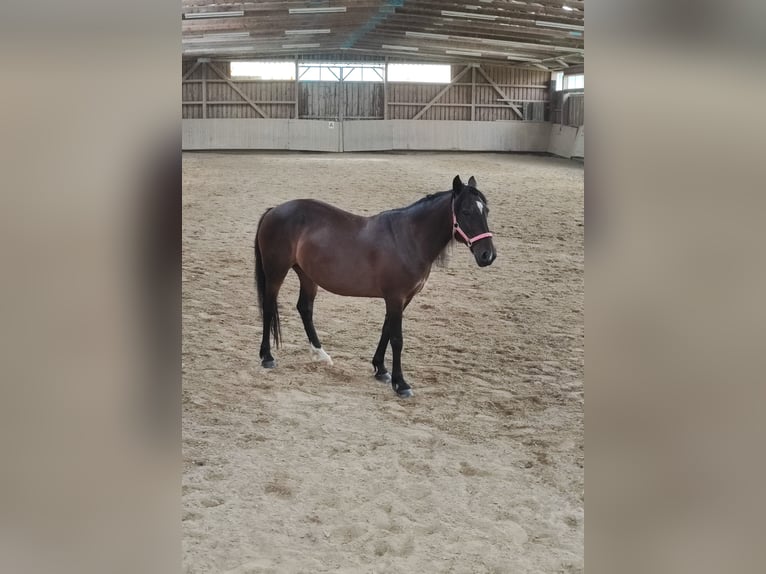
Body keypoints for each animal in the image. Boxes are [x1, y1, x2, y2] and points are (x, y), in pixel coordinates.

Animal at [253, 175, 496, 398]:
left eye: (485, 211)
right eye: (466, 211)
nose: (488, 255)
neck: (408, 239)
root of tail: (274, 211)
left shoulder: (403, 298)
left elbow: (386, 330)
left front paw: (381, 370)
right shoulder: (395, 297)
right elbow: (397, 339)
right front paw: (401, 384)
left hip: (307, 275)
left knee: (305, 308)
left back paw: (320, 354)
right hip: (276, 273)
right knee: (269, 307)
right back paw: (267, 357)